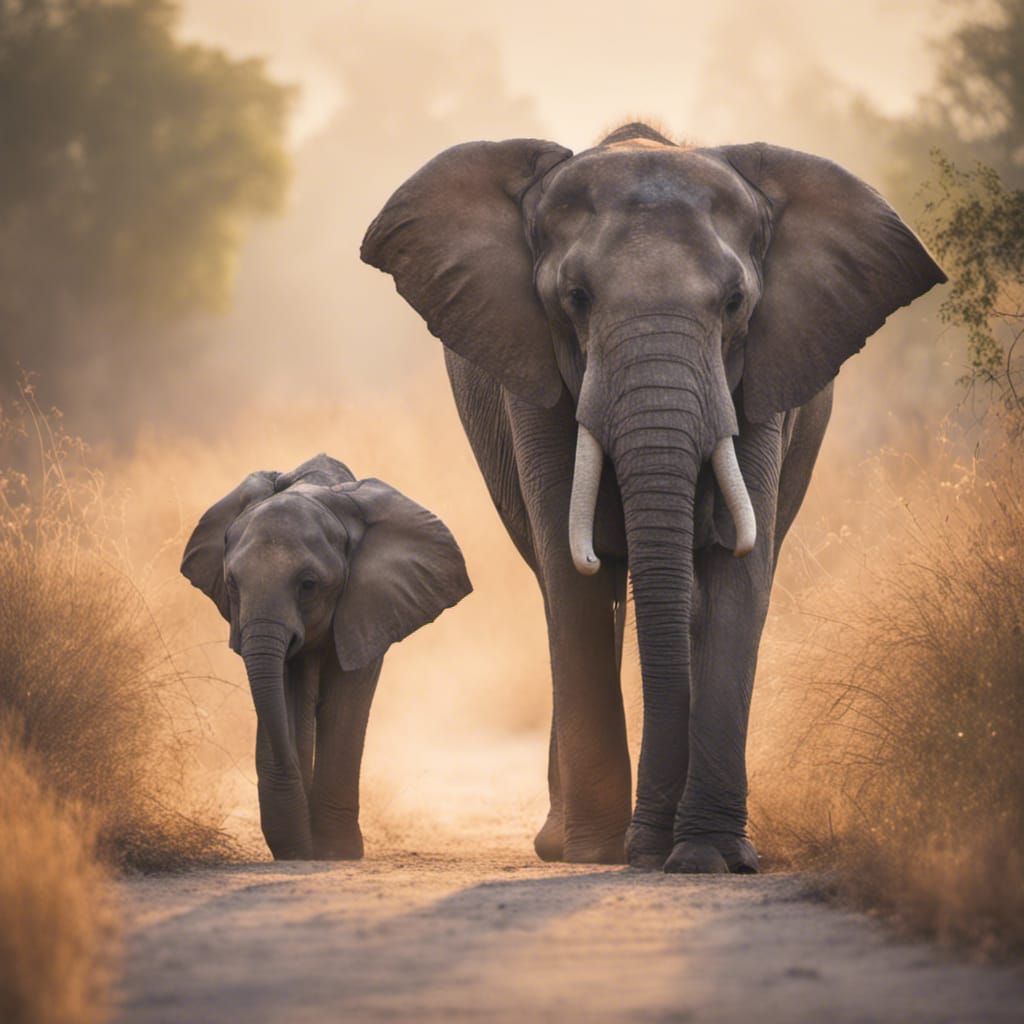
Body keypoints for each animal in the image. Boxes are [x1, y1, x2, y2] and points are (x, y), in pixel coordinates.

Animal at [181, 454, 472, 860]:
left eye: (308, 585)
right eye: (232, 584)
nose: (303, 850)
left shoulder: (369, 607)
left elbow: (344, 703)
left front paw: (337, 851)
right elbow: (286, 693)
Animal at [361, 122, 945, 872]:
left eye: (734, 304)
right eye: (575, 298)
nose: (646, 850)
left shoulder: (763, 377)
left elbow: (738, 572)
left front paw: (709, 858)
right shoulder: (533, 380)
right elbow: (572, 575)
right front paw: (605, 852)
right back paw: (567, 843)